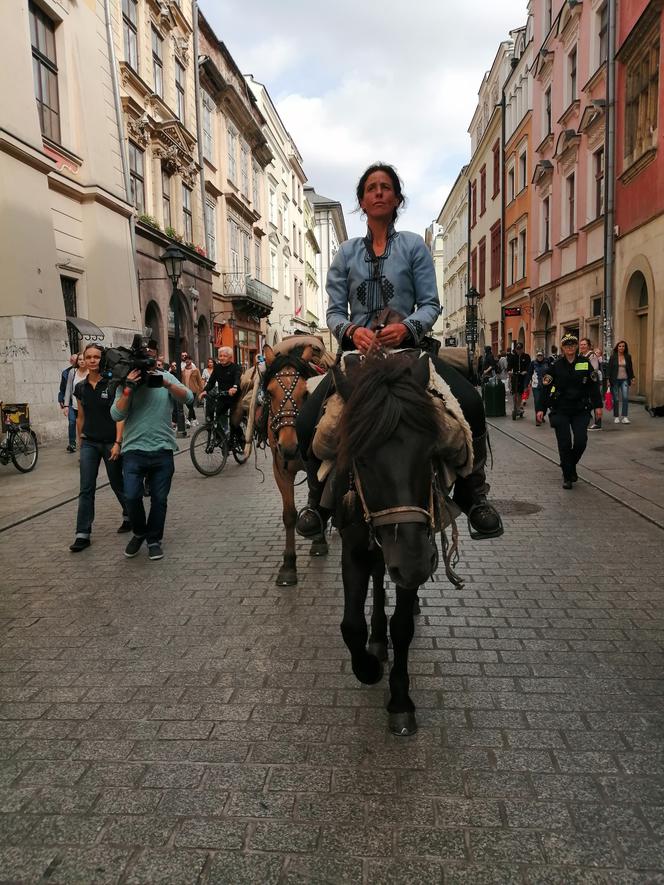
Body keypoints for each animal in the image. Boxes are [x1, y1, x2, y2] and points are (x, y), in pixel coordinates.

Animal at [262, 342, 330, 584]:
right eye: (269, 392)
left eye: (306, 393)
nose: (290, 446)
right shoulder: (280, 470)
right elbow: (289, 515)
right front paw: (288, 564)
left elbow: (317, 496)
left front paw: (318, 539)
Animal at [332, 350, 446, 732]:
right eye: (362, 460)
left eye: (430, 453)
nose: (412, 562)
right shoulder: (353, 548)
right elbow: (351, 624)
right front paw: (368, 667)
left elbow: (403, 626)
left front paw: (399, 700)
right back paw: (377, 642)